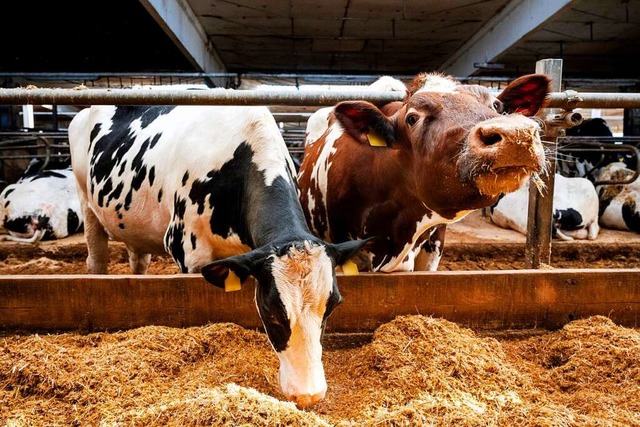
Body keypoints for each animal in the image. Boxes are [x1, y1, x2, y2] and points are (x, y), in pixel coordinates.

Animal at [67, 103, 368, 408]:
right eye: (271, 311)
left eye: (332, 306)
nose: (308, 395)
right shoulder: (185, 248)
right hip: (86, 202)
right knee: (96, 259)